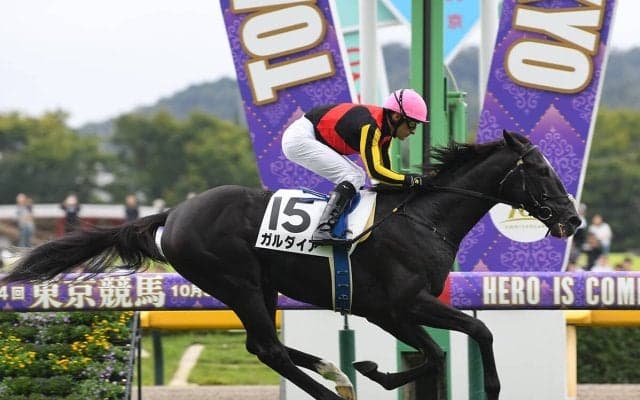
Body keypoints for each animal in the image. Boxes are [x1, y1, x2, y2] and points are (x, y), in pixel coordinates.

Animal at [1, 130, 580, 400]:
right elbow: (459, 341)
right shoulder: (396, 306)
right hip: (236, 281)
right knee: (268, 348)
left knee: (264, 346)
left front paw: (371, 370)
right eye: (541, 171)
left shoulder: (396, 309)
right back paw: (331, 385)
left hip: (259, 285)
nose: (573, 219)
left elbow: (452, 346)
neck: (423, 219)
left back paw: (332, 373)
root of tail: (175, 212)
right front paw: (377, 371)